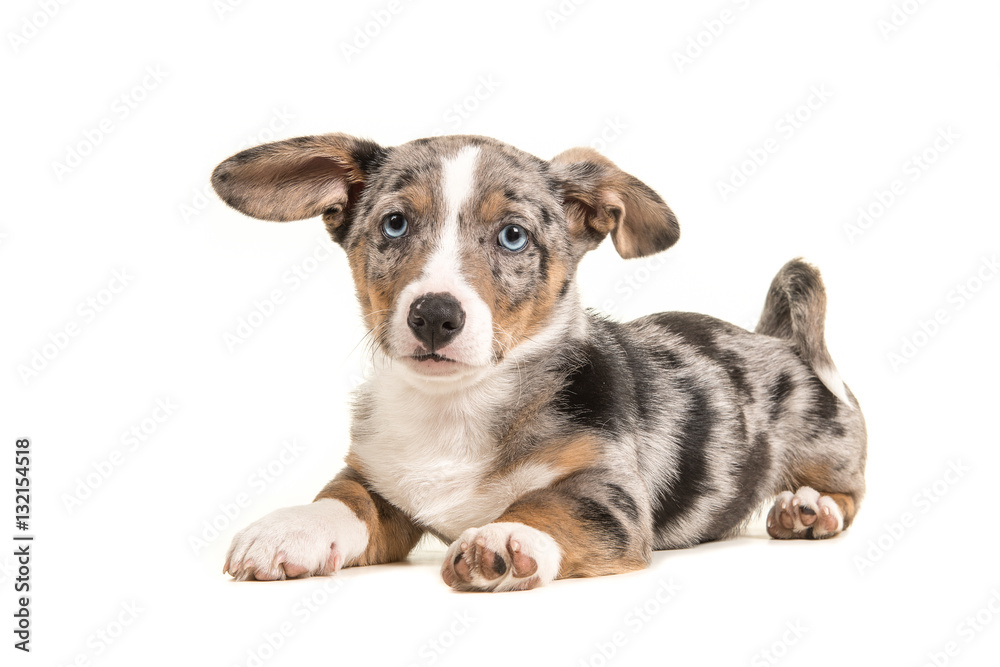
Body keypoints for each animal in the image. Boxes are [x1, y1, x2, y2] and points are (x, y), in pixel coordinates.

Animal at [213, 133, 868, 592]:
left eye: (513, 236)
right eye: (394, 224)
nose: (434, 315)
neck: (458, 408)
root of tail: (777, 339)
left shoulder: (607, 498)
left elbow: (547, 506)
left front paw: (504, 534)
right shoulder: (377, 482)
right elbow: (340, 500)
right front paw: (291, 527)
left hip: (829, 447)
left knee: (849, 493)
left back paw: (809, 508)